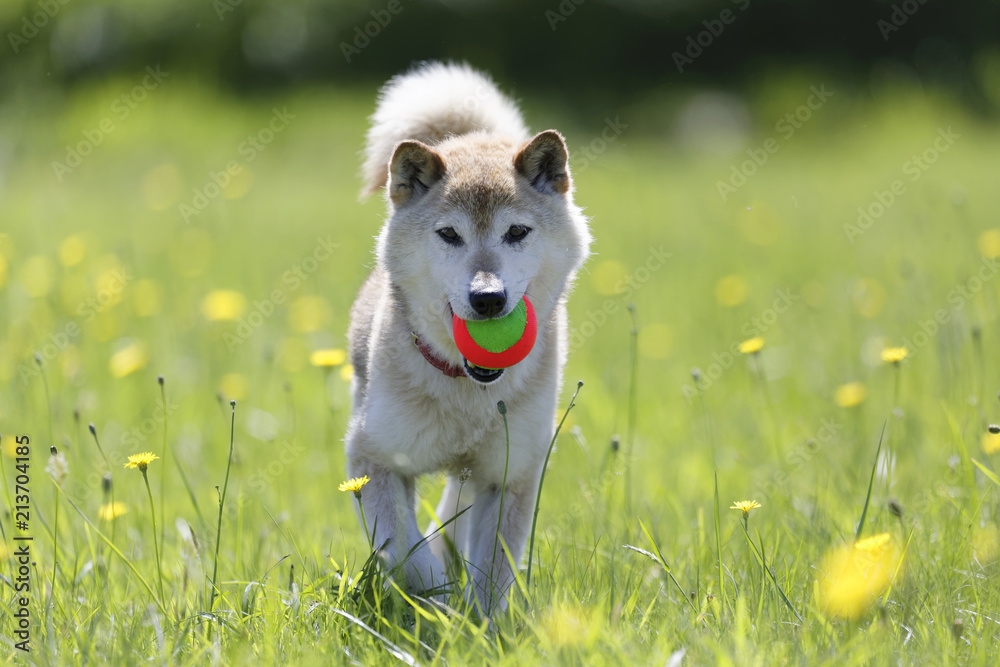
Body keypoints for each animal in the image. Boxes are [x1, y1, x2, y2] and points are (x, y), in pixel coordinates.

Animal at [346, 62, 588, 616]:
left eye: (516, 232)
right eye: (449, 235)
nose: (488, 299)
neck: (466, 390)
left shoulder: (510, 473)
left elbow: (493, 571)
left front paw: (477, 623)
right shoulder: (371, 458)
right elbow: (405, 551)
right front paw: (438, 605)